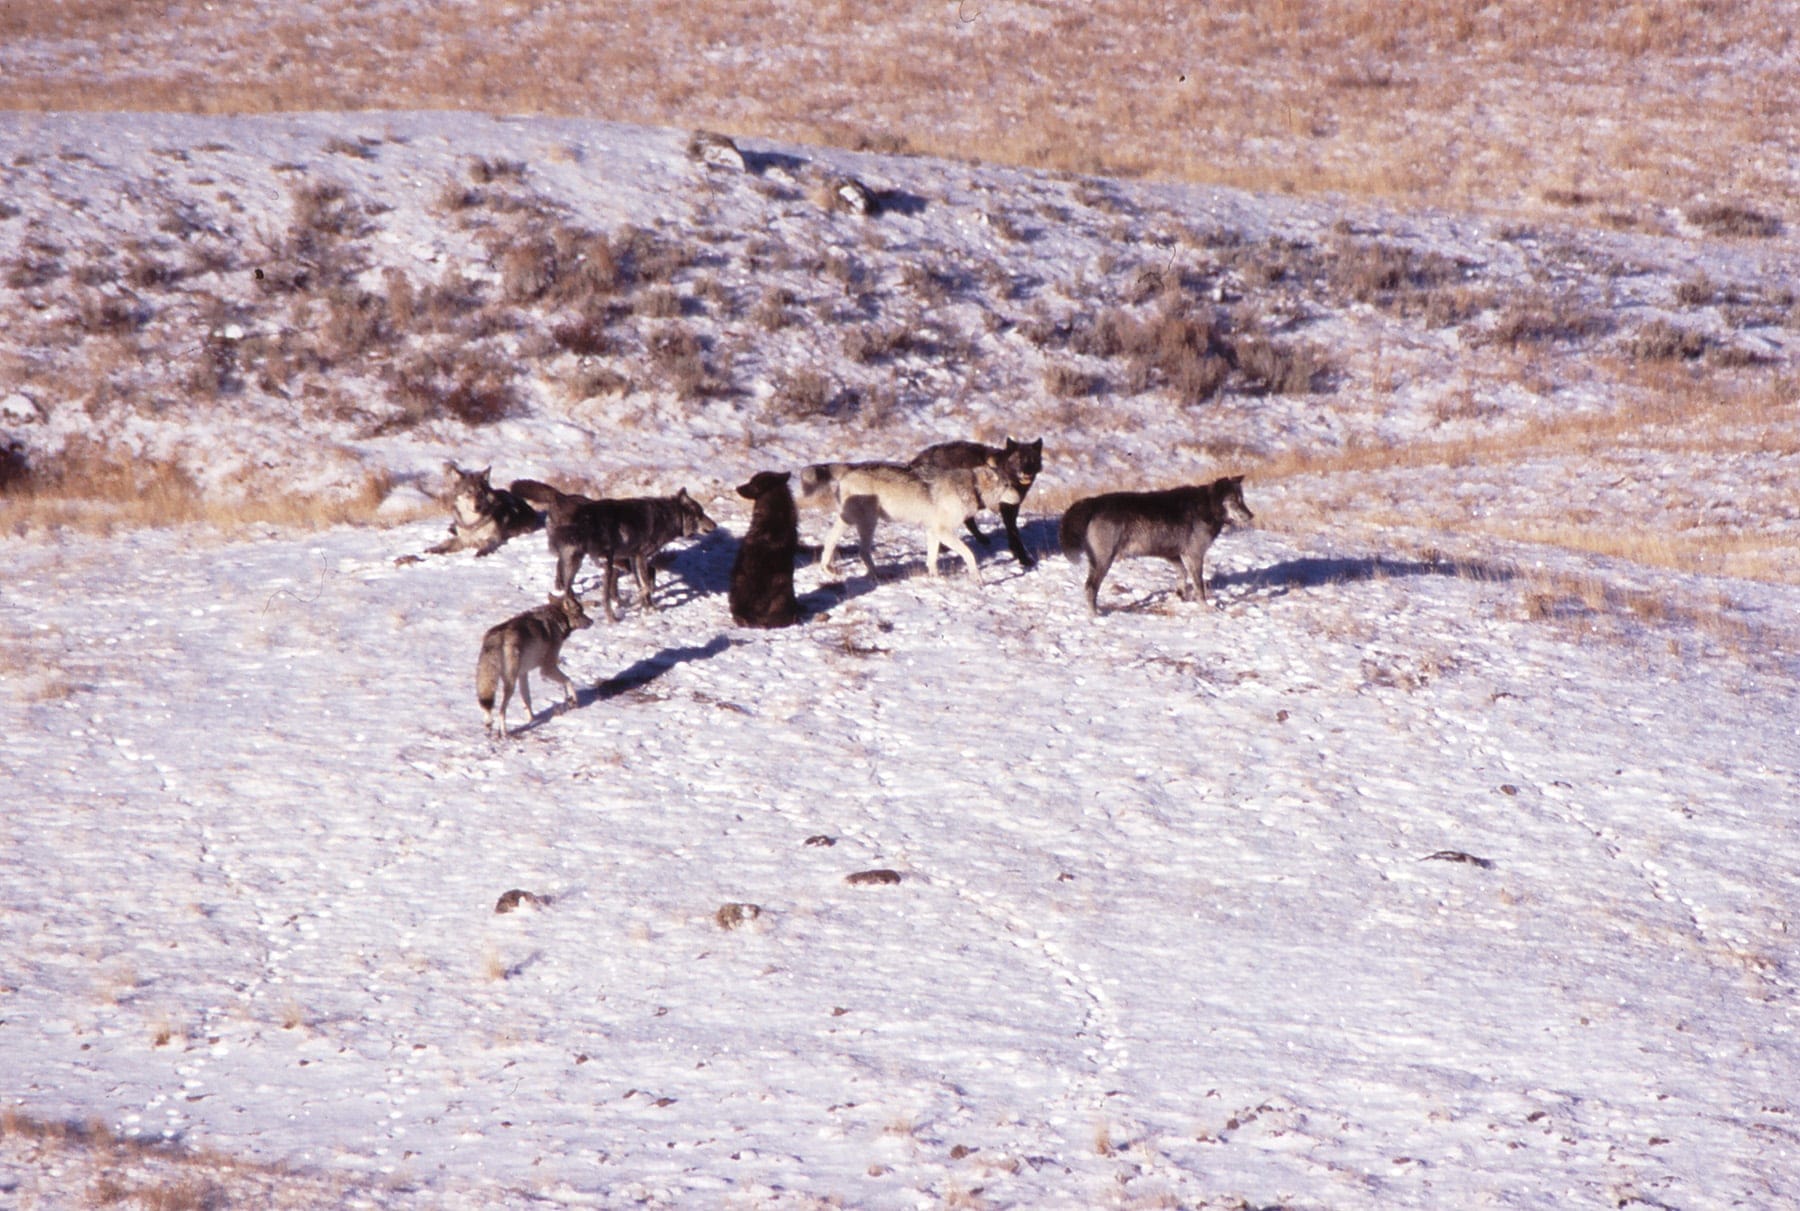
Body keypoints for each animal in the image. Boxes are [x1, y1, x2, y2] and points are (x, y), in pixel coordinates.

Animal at [475, 593, 593, 735]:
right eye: (580, 611)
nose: (592, 621)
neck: (556, 620)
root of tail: (495, 638)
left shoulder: (523, 673)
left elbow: (527, 699)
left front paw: (532, 719)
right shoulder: (547, 668)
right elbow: (568, 680)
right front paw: (573, 700)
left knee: (487, 704)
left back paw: (488, 724)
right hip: (510, 684)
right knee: (501, 710)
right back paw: (504, 732)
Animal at [511, 479, 718, 622]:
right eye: (701, 514)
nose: (715, 526)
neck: (667, 517)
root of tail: (560, 496)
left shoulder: (633, 558)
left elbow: (643, 584)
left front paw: (648, 606)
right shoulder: (640, 557)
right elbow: (645, 585)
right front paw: (644, 604)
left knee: (565, 583)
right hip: (588, 561)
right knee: (573, 589)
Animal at [801, 459, 1022, 585]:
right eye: (1007, 485)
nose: (1020, 497)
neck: (973, 487)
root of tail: (851, 467)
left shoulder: (932, 532)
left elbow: (932, 559)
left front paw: (935, 579)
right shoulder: (942, 531)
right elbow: (970, 554)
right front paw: (977, 579)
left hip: (851, 521)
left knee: (831, 541)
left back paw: (829, 570)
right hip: (868, 522)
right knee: (862, 551)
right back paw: (877, 575)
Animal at [909, 436, 1043, 567]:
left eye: (1032, 460)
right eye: (1019, 459)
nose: (1027, 472)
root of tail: (918, 459)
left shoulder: (1013, 509)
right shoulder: (1007, 510)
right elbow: (1015, 534)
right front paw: (1024, 559)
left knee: (967, 522)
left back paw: (981, 539)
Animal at [1058, 476, 1254, 615]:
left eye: (1242, 499)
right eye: (1235, 501)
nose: (1251, 515)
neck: (1207, 506)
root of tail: (1094, 502)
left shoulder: (1174, 555)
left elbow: (1182, 574)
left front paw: (1180, 596)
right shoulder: (1195, 556)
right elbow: (1199, 587)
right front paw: (1205, 608)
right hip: (1104, 562)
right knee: (1090, 587)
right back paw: (1094, 616)